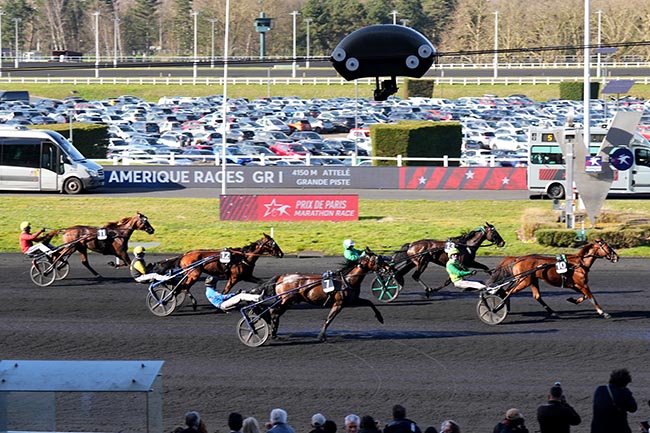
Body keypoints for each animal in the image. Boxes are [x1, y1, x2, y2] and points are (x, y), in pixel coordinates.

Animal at [486, 236, 616, 318]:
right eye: (608, 247)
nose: (616, 257)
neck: (579, 264)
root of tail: (518, 259)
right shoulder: (582, 284)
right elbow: (591, 297)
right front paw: (603, 313)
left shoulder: (575, 285)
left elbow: (584, 296)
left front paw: (572, 300)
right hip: (524, 281)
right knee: (507, 292)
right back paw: (499, 307)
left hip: (531, 280)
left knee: (536, 296)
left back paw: (552, 312)